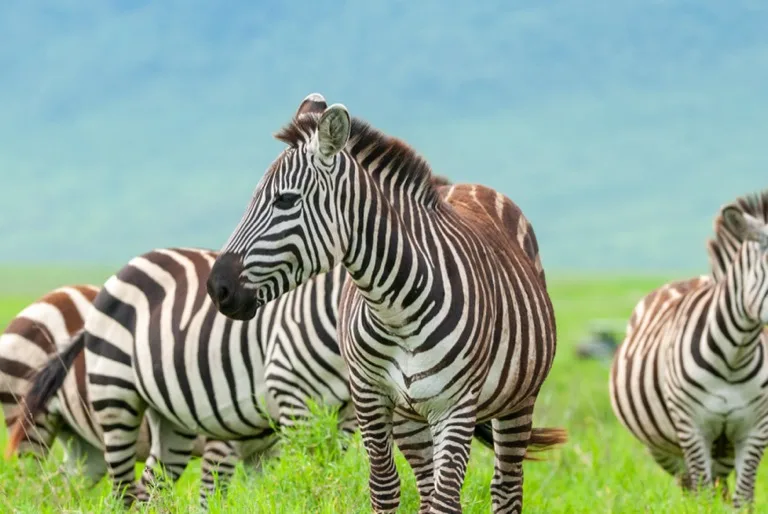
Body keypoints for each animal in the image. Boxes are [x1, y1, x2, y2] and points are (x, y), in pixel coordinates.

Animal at [0, 285, 236, 508]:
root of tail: (40, 302)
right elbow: (215, 495)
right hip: (31, 429)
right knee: (29, 485)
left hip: (84, 445)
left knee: (60, 487)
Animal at [207, 93, 566, 514]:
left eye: (285, 200)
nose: (217, 287)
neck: (397, 311)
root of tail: (469, 186)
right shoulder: (369, 396)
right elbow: (385, 487)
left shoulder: (456, 406)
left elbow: (447, 499)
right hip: (410, 419)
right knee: (427, 487)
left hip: (518, 401)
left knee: (505, 489)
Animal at [609, 190, 768, 508]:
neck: (735, 357)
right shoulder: (693, 428)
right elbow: (703, 496)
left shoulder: (755, 429)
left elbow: (743, 498)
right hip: (664, 447)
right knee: (691, 486)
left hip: (723, 449)